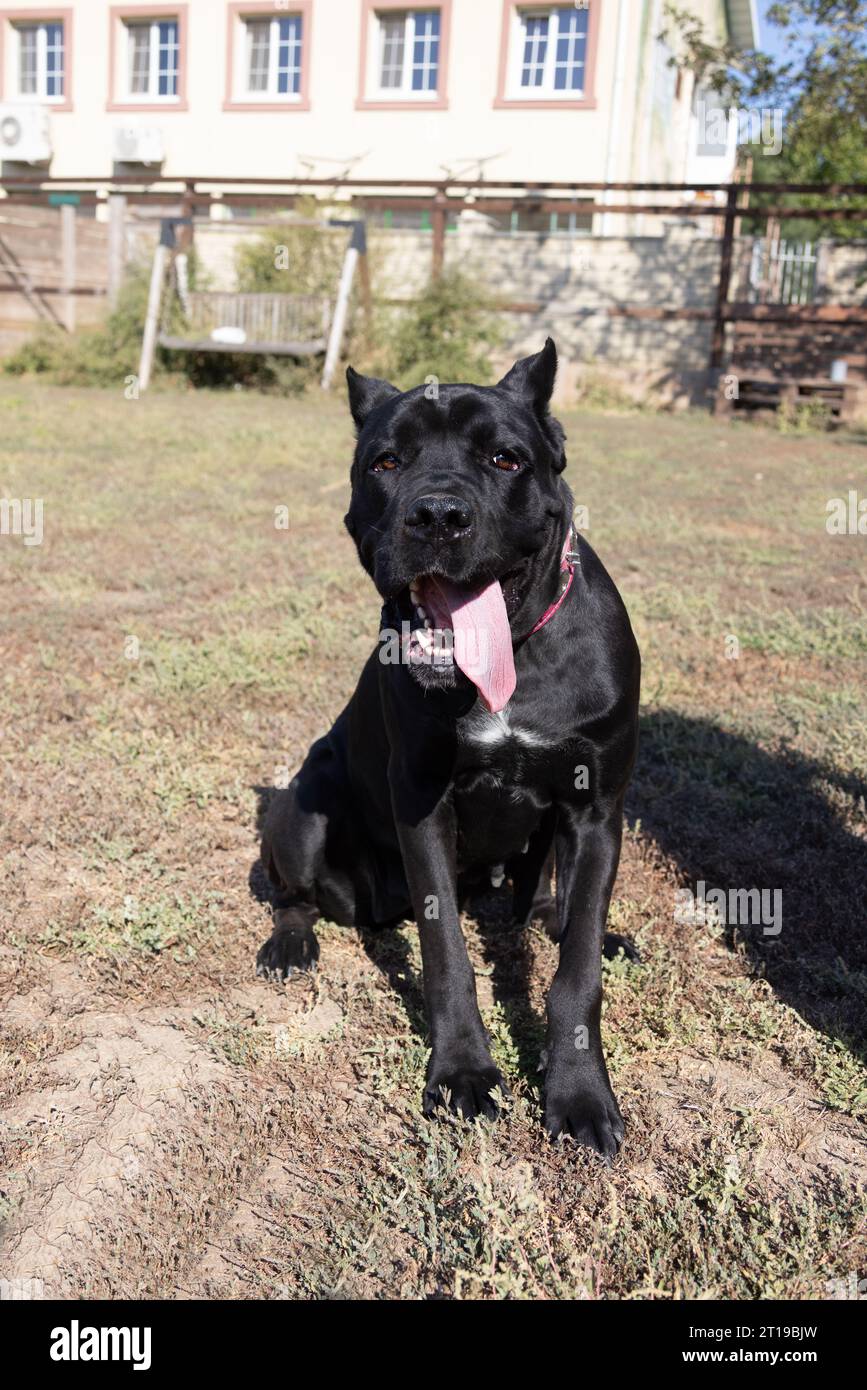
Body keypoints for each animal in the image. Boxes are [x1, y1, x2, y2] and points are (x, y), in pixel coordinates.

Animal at [254, 341, 639, 1156]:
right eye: (386, 462)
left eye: (504, 458)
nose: (437, 514)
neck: (514, 658)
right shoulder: (423, 805)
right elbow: (445, 952)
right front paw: (462, 1072)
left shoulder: (595, 810)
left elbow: (577, 968)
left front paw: (579, 1092)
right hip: (301, 806)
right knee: (296, 895)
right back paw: (290, 946)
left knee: (548, 902)